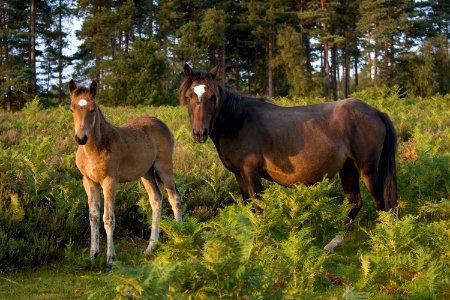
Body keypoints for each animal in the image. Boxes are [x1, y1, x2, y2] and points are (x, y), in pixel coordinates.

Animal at [68, 79, 181, 270]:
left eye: (93, 109)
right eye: (72, 108)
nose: (81, 138)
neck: (95, 148)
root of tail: (161, 123)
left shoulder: (109, 182)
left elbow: (108, 218)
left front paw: (109, 260)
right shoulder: (89, 182)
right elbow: (93, 216)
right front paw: (93, 255)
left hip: (164, 168)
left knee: (174, 198)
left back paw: (182, 236)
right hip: (147, 173)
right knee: (156, 199)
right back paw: (150, 247)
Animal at [179, 63, 398, 230]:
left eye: (212, 97)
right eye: (189, 97)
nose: (199, 133)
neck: (237, 121)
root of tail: (376, 112)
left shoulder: (251, 172)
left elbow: (259, 210)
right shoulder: (239, 175)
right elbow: (249, 209)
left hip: (367, 171)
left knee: (381, 205)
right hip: (348, 169)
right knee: (354, 203)